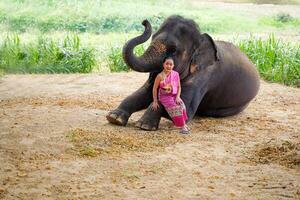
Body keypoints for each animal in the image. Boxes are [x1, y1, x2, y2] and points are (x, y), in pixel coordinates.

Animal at [106, 16, 260, 131]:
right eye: (152, 38)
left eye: (173, 50)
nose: (144, 22)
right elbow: (145, 93)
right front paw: (114, 118)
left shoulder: (203, 77)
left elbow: (183, 106)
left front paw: (143, 125)